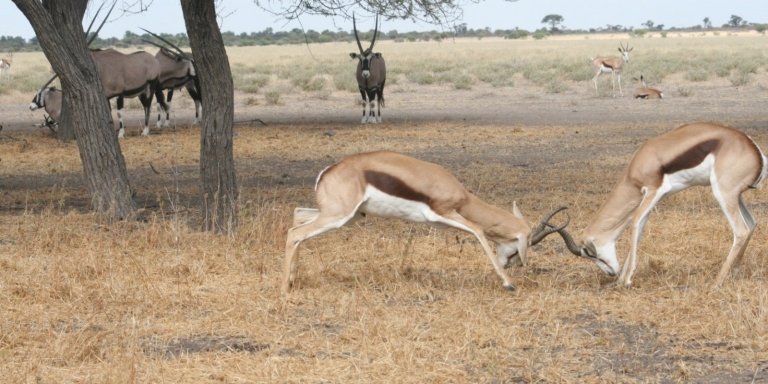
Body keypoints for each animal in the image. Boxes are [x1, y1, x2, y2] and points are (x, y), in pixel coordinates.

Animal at [284, 150, 568, 294]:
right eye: (523, 245)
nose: (513, 264)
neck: (461, 194)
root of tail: (328, 171)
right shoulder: (444, 213)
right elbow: (478, 231)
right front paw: (508, 283)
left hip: (346, 216)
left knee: (297, 217)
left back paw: (292, 281)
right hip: (338, 216)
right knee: (294, 233)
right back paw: (285, 290)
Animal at [548, 123, 764, 288]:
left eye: (591, 253)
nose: (610, 273)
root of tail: (755, 152)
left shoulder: (653, 190)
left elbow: (635, 222)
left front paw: (625, 280)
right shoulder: (653, 198)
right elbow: (641, 227)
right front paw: (620, 279)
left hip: (723, 194)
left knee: (741, 230)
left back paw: (716, 282)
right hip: (736, 196)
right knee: (752, 223)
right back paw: (734, 272)